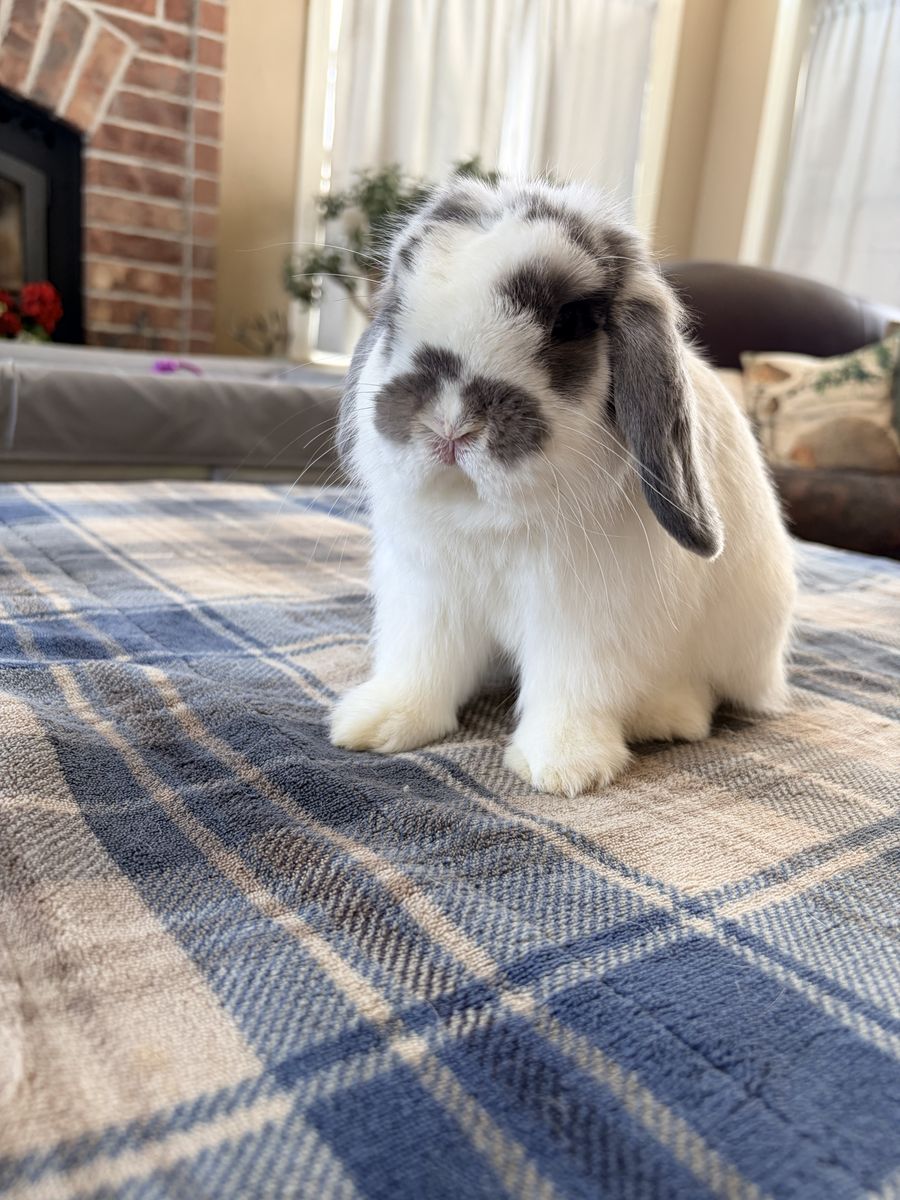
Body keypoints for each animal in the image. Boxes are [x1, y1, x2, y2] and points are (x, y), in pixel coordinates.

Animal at [329, 176, 795, 796]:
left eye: (570, 321)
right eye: (395, 309)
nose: (448, 426)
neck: (491, 513)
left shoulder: (585, 614)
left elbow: (572, 684)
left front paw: (564, 767)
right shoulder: (427, 595)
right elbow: (420, 664)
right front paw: (377, 723)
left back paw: (666, 714)